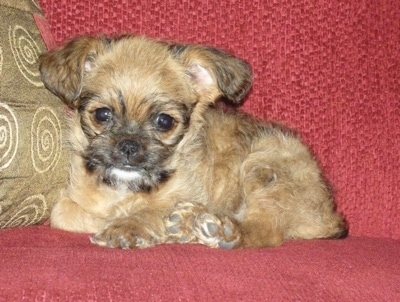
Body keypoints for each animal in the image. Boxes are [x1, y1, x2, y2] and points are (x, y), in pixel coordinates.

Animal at [39, 34, 348, 248]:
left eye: (164, 121)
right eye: (102, 115)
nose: (129, 145)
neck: (125, 188)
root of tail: (329, 216)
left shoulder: (185, 193)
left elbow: (153, 209)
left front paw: (128, 226)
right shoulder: (71, 201)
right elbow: (62, 214)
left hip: (264, 164)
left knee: (264, 231)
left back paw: (216, 229)